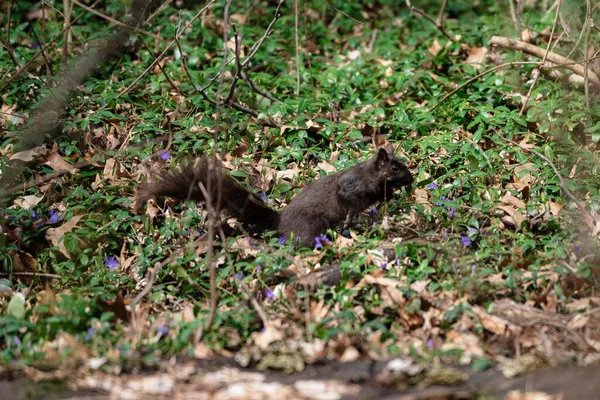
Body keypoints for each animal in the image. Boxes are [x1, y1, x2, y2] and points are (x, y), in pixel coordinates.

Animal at [137, 145, 414, 247]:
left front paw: (389, 197)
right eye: (395, 168)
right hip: (312, 224)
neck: (371, 174)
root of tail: (281, 222)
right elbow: (350, 198)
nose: (411, 179)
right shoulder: (351, 185)